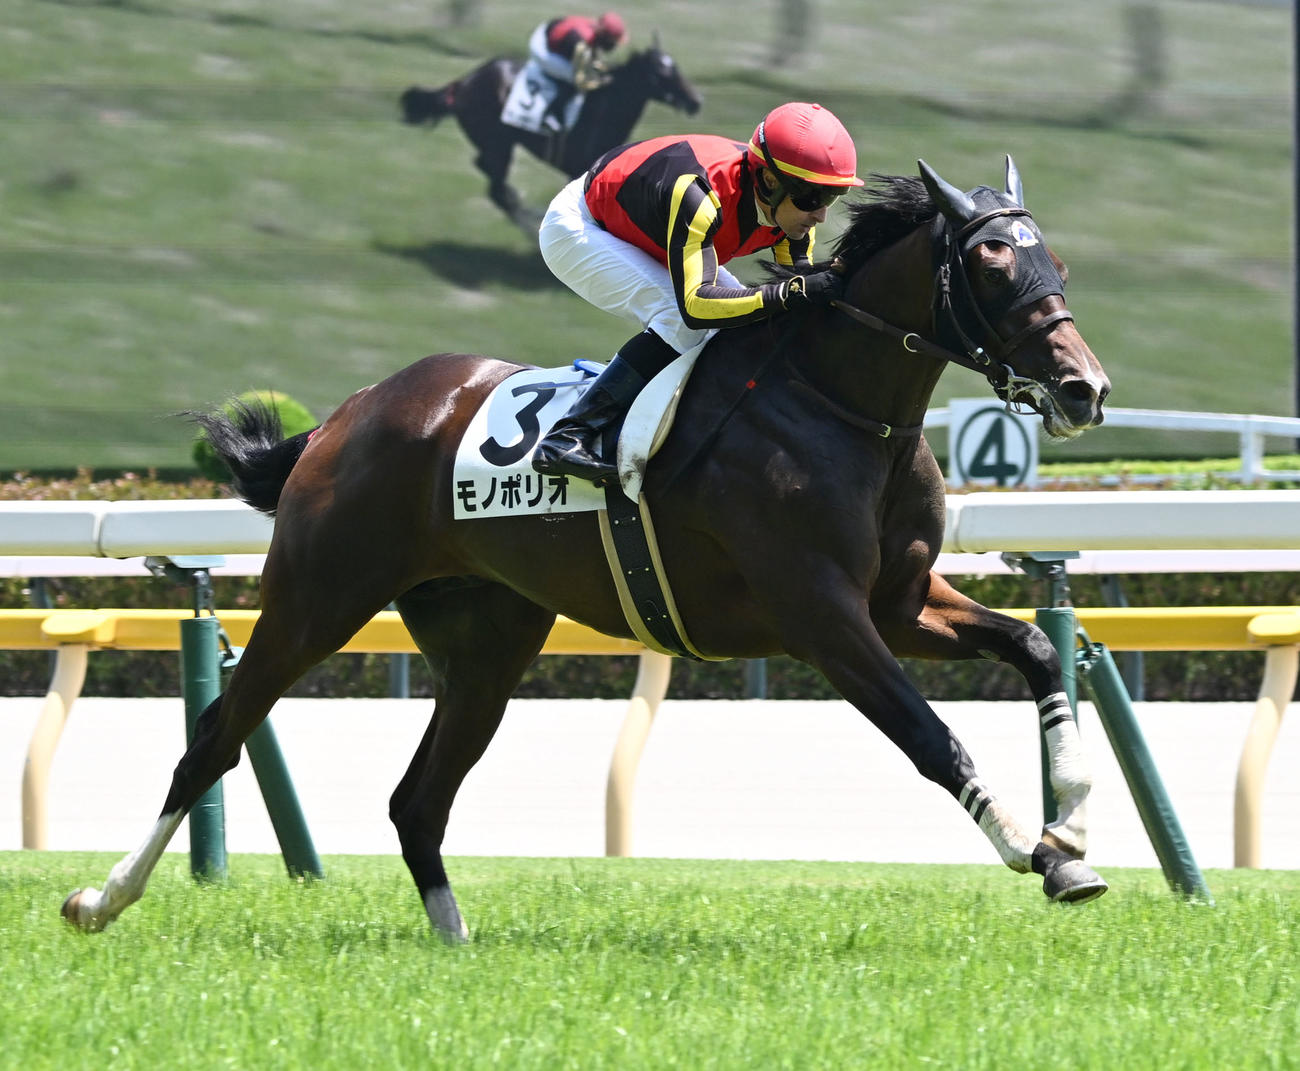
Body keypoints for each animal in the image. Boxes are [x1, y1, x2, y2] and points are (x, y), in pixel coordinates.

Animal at [62, 156, 1112, 943]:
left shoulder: (898, 601)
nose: (1084, 388)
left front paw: (1071, 822)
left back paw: (455, 943)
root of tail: (343, 416)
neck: (839, 406)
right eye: (990, 262)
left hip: (487, 645)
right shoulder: (821, 615)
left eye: (1055, 259)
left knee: (417, 799)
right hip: (314, 600)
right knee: (213, 742)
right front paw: (1034, 850)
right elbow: (931, 735)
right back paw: (101, 897)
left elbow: (1032, 646)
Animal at [399, 42, 701, 230]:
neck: (604, 107)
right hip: (499, 142)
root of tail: (463, 83)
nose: (695, 101)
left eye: (675, 66)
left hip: (496, 144)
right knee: (496, 186)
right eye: (662, 72)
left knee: (489, 175)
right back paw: (531, 223)